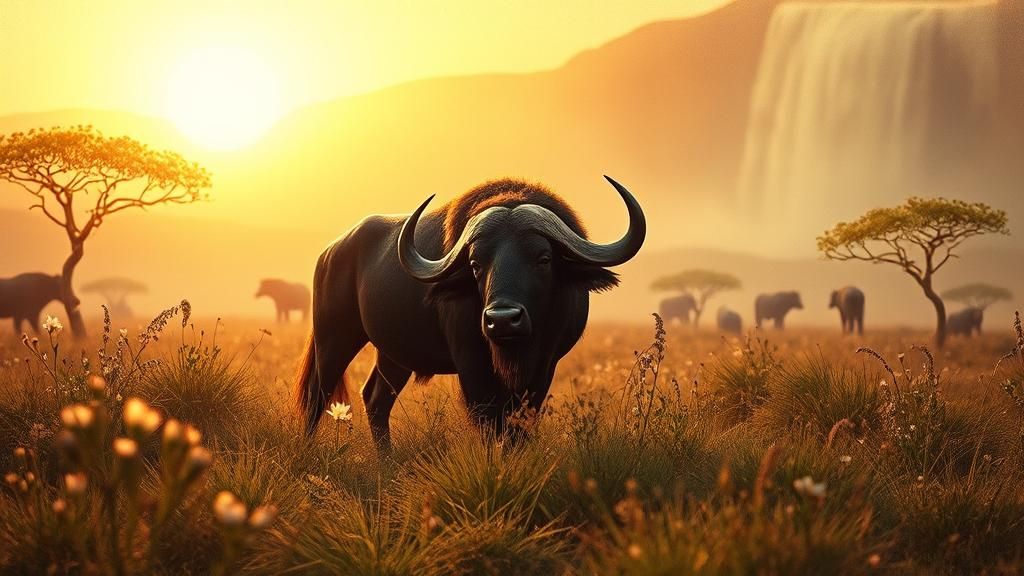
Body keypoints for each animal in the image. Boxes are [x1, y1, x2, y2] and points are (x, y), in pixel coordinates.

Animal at [296, 177, 645, 451]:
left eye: (543, 258)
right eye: (476, 263)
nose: (502, 319)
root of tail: (331, 252)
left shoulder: (545, 365)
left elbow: (520, 425)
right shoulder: (471, 364)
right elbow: (488, 423)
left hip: (393, 354)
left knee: (376, 398)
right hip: (333, 338)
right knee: (317, 395)